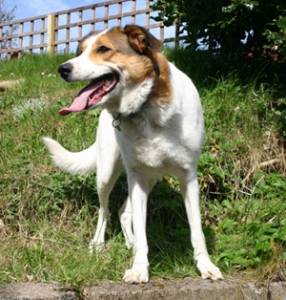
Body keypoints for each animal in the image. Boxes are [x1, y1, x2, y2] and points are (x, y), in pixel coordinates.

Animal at [43, 24, 223, 282]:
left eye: (103, 49)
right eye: (80, 51)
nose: (63, 69)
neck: (146, 108)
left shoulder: (188, 177)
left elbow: (196, 230)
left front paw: (206, 266)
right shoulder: (136, 176)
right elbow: (140, 228)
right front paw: (139, 268)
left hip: (150, 179)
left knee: (123, 212)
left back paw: (131, 242)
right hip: (108, 174)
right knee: (105, 210)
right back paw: (99, 244)